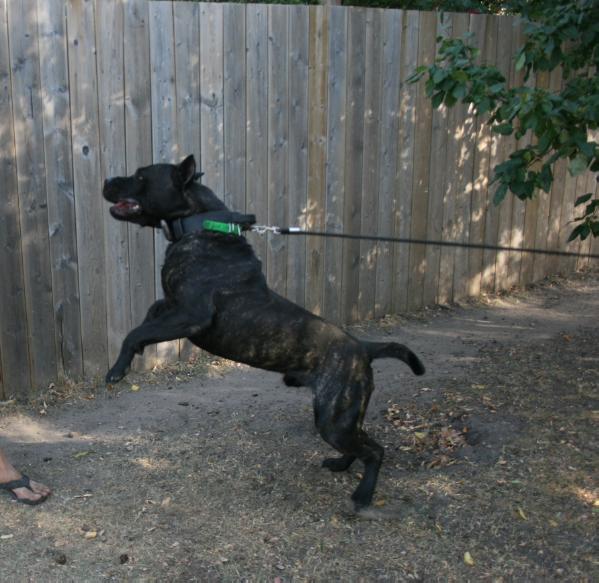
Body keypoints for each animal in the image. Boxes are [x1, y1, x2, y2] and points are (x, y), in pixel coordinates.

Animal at [103, 156, 424, 512]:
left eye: (140, 176)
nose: (106, 180)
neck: (198, 225)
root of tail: (364, 348)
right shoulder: (172, 306)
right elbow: (149, 316)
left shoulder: (190, 316)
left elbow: (135, 332)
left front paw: (117, 369)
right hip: (342, 418)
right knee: (362, 444)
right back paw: (341, 465)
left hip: (334, 420)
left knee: (375, 451)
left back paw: (363, 495)